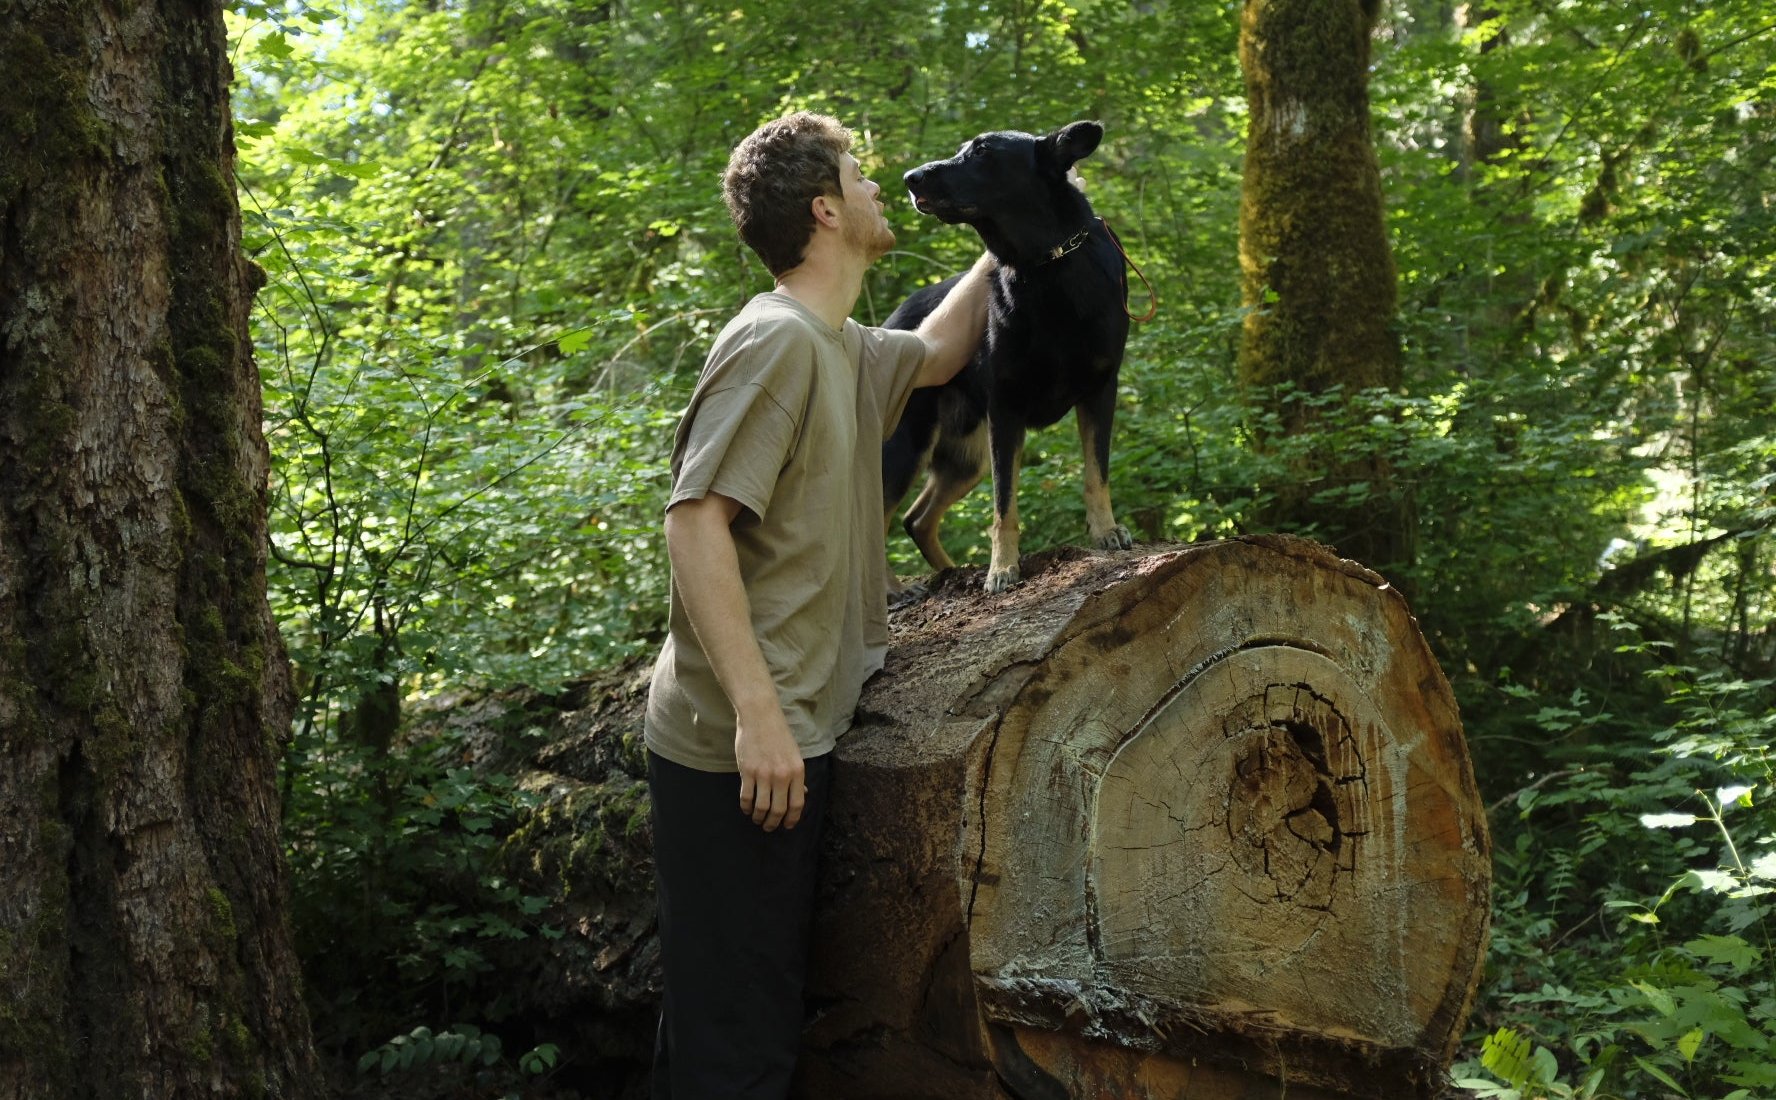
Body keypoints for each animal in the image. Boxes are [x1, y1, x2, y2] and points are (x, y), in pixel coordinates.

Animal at [880, 119, 1129, 593]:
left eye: (982, 152)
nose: (909, 178)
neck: (1046, 265)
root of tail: (897, 317)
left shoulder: (1100, 391)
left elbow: (1097, 473)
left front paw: (1106, 530)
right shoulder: (1006, 410)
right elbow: (1004, 505)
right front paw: (1002, 568)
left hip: (965, 458)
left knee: (916, 519)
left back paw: (949, 570)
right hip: (908, 444)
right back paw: (894, 589)